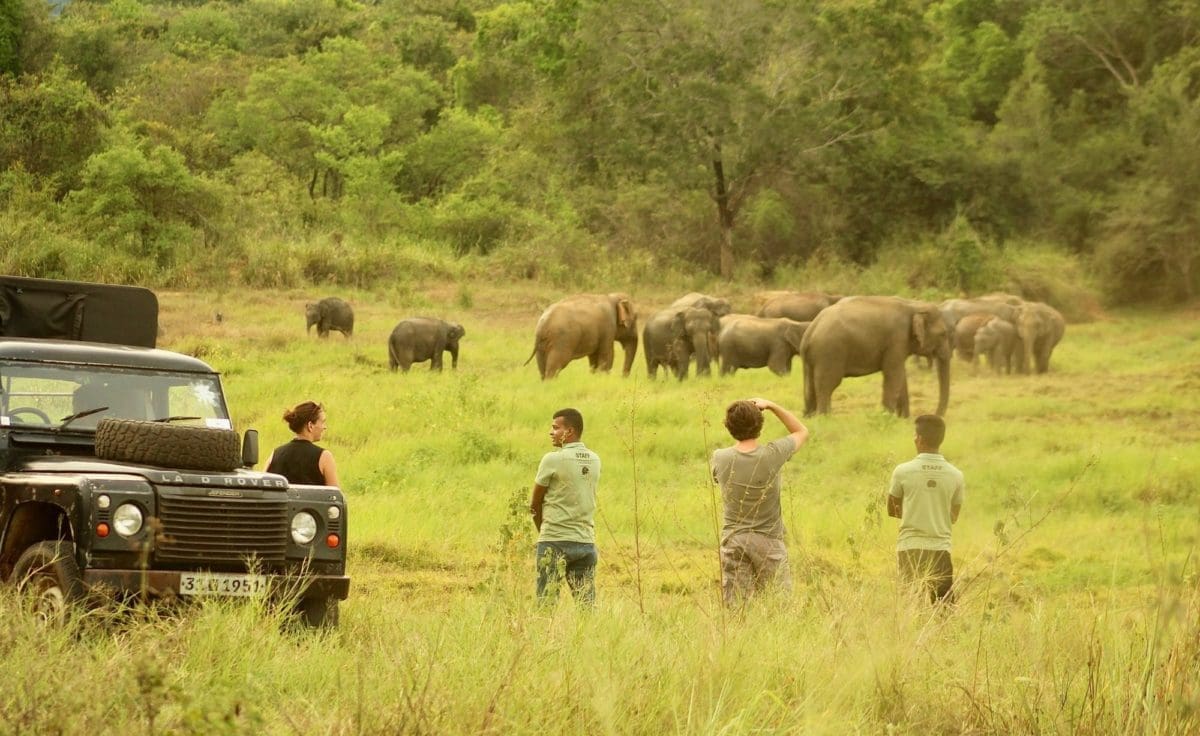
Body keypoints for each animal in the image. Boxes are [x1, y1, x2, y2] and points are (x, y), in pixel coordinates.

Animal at [801, 295, 950, 415]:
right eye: (943, 334)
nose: (935, 415)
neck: (913, 305)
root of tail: (810, 330)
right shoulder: (896, 340)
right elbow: (893, 375)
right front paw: (887, 418)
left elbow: (901, 376)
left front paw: (903, 421)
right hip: (829, 354)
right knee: (827, 386)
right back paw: (824, 417)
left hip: (812, 359)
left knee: (810, 387)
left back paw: (810, 417)